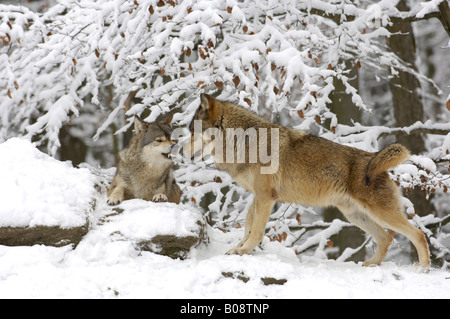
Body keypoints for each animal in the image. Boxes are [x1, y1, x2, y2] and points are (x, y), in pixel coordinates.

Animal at [188, 94, 430, 268]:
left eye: (192, 131)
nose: (181, 152)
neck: (243, 142)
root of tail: (374, 159)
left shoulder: (266, 197)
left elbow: (255, 230)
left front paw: (243, 251)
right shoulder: (259, 196)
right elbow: (248, 224)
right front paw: (238, 248)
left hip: (379, 213)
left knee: (417, 233)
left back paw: (423, 268)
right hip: (355, 215)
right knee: (386, 238)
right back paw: (371, 264)